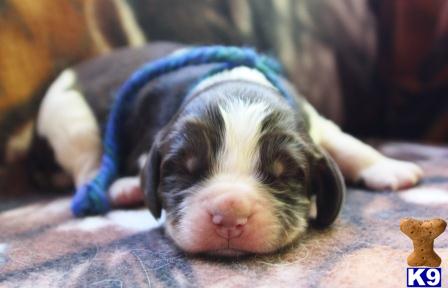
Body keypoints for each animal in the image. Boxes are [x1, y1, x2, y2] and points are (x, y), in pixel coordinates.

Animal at [36, 42, 424, 254]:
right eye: (185, 170)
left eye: (284, 176)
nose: (229, 216)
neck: (236, 84)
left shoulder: (313, 121)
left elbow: (345, 142)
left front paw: (389, 166)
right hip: (70, 122)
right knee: (88, 168)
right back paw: (122, 187)